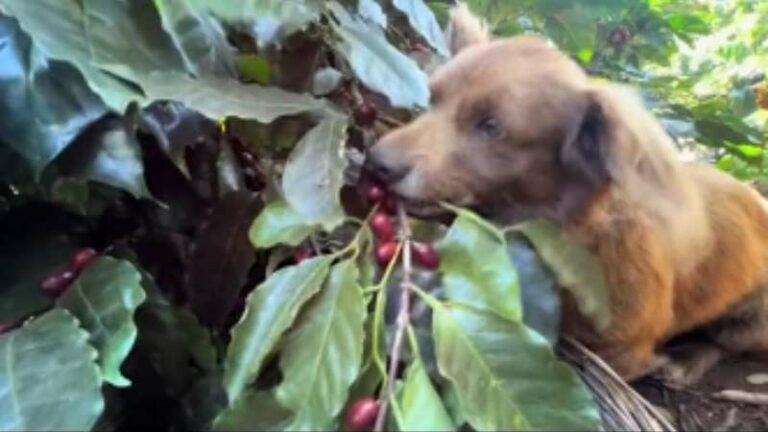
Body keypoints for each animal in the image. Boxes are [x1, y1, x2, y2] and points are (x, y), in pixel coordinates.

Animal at [364, 5, 768, 380]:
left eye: (491, 127)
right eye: (433, 99)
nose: (376, 164)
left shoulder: (622, 350)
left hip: (748, 320)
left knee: (724, 342)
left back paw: (687, 360)